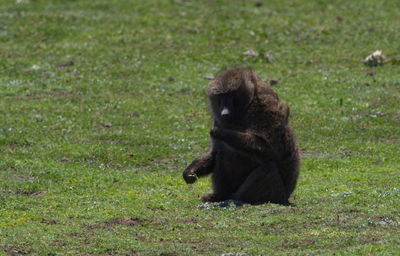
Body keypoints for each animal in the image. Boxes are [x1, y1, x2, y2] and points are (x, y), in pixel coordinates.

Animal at [183, 67, 298, 205]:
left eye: (231, 95)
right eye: (221, 96)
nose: (224, 113)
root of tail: (286, 196)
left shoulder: (264, 105)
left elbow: (270, 150)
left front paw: (221, 132)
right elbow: (215, 151)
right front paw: (190, 173)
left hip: (276, 193)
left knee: (268, 168)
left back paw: (236, 198)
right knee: (221, 153)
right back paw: (220, 196)